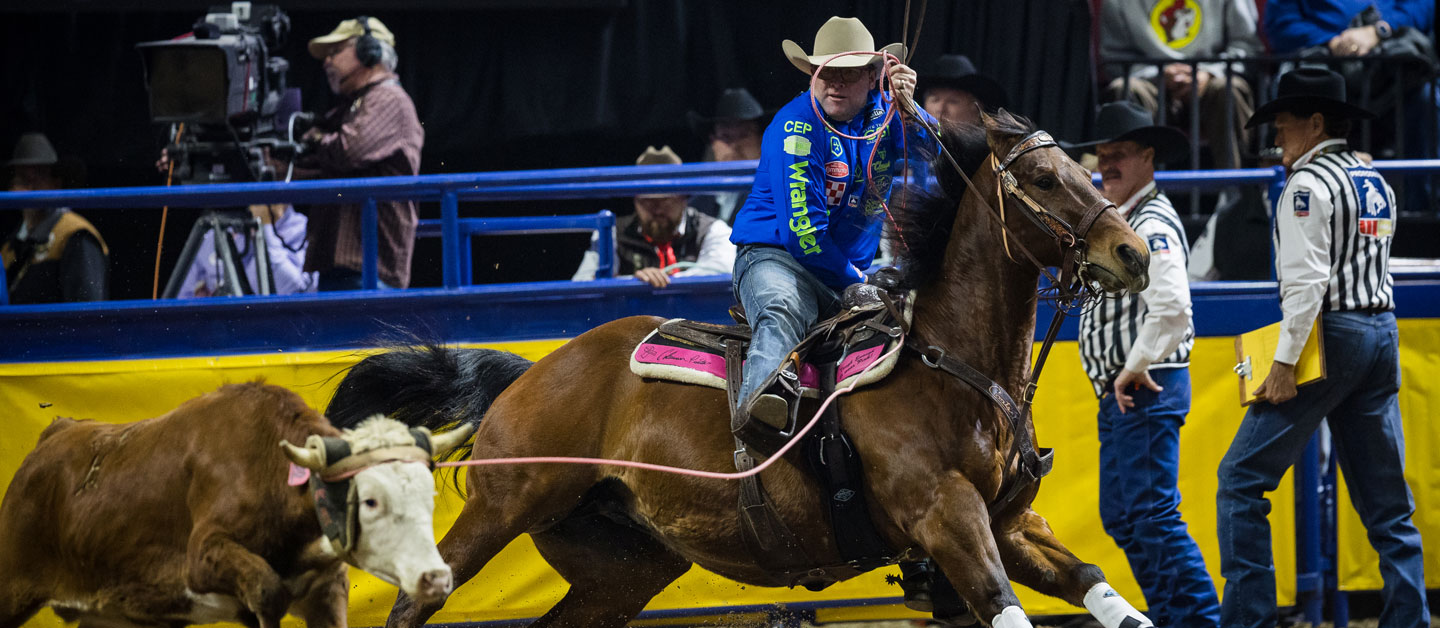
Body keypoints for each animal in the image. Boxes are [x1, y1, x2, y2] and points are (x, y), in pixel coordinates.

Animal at [331, 110, 1152, 625]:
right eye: (1043, 179)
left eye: (1084, 171)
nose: (1134, 252)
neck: (952, 368)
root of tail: (530, 375)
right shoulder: (946, 515)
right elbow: (1004, 604)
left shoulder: (1013, 522)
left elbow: (1097, 587)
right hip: (500, 509)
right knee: (414, 601)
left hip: (622, 566)